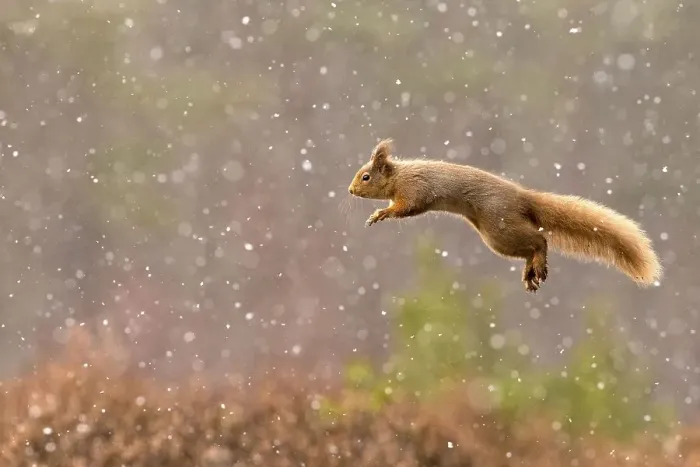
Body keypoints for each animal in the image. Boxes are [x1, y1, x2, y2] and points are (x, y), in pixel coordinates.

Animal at [348, 138, 662, 293]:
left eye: (365, 177)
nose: (350, 190)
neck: (398, 176)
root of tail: (524, 198)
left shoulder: (414, 191)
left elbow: (404, 208)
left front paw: (380, 213)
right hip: (496, 238)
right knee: (530, 247)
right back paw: (529, 272)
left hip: (500, 226)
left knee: (540, 241)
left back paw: (538, 264)